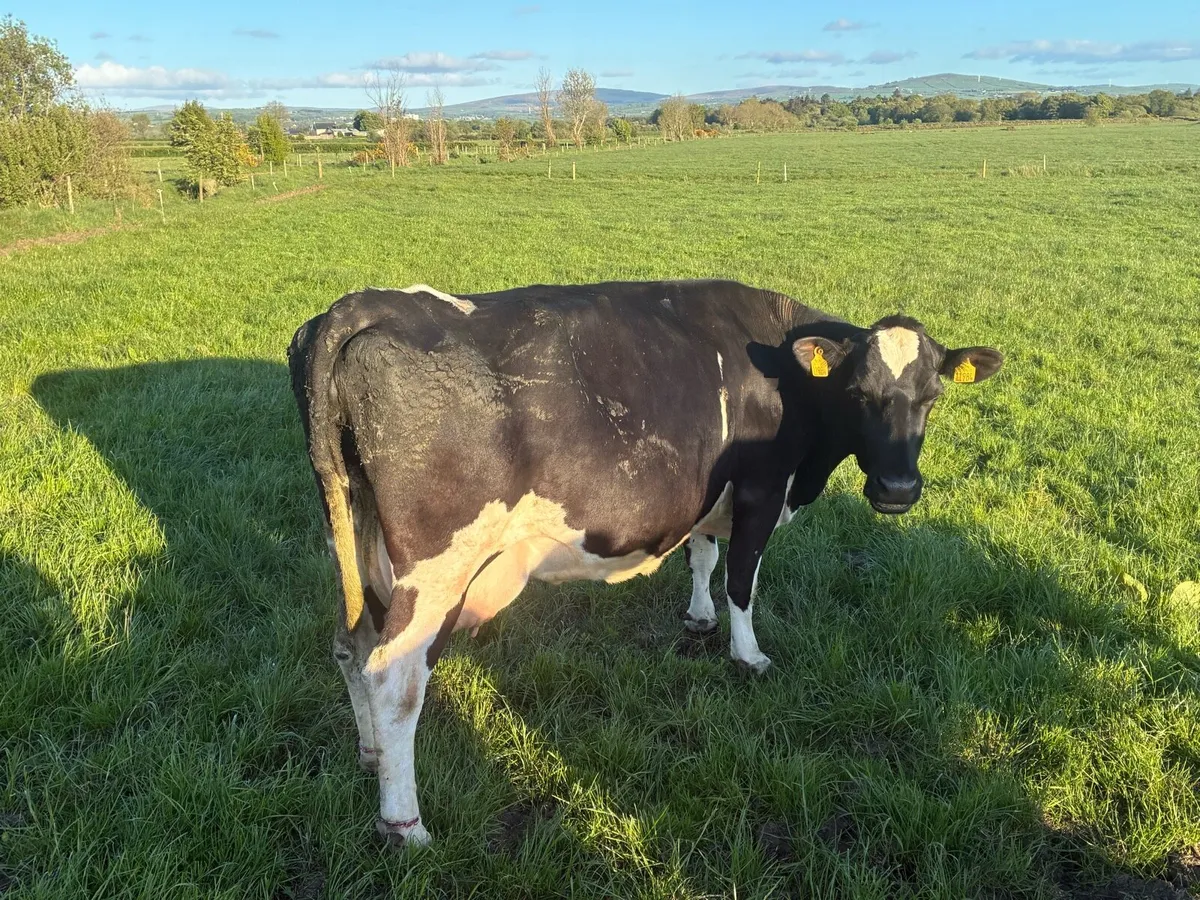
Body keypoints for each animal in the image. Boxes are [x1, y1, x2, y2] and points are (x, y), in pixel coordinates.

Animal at [288, 279, 1003, 846]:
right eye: (859, 393)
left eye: (932, 395)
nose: (898, 490)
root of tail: (358, 307)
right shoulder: (761, 487)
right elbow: (742, 577)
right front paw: (748, 655)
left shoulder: (713, 493)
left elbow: (704, 556)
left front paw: (699, 617)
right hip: (438, 566)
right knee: (393, 676)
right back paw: (404, 823)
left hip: (350, 538)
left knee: (351, 646)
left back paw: (370, 754)